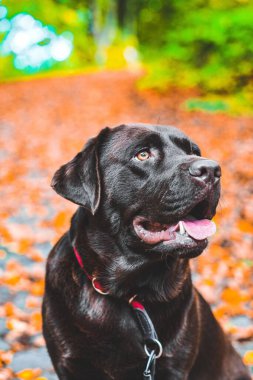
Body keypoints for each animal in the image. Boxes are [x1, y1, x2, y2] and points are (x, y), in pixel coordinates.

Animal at [42, 123, 250, 378]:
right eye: (142, 154)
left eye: (194, 151)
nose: (211, 169)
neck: (128, 292)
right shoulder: (69, 364)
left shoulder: (172, 366)